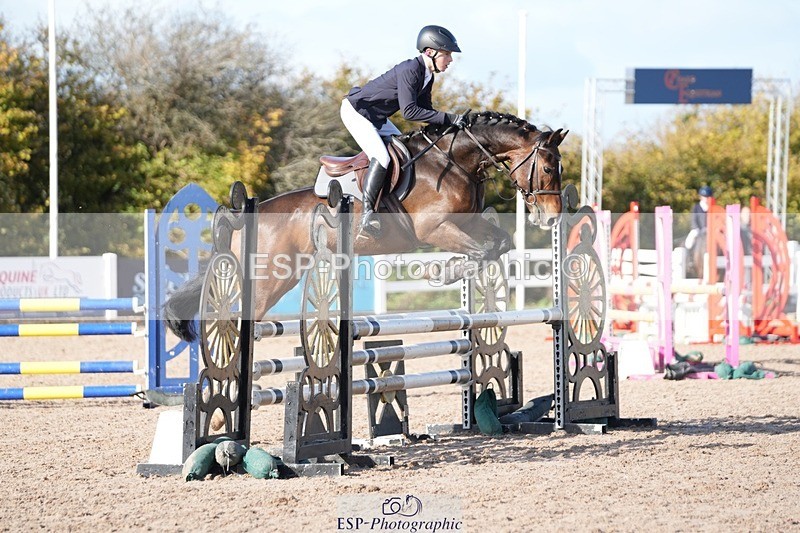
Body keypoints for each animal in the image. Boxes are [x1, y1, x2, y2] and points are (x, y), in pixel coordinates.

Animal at [164, 111, 568, 342]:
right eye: (549, 167)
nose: (551, 217)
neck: (453, 160)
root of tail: (248, 213)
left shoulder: (469, 222)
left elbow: (500, 243)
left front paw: (452, 269)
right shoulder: (434, 229)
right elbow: (483, 249)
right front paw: (445, 271)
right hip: (268, 281)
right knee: (235, 321)